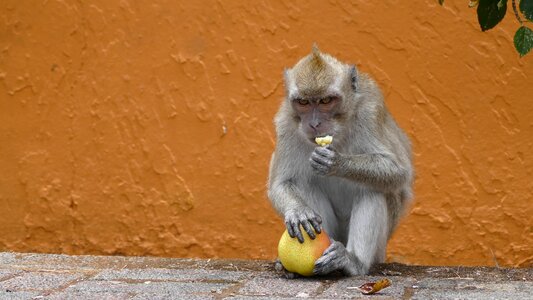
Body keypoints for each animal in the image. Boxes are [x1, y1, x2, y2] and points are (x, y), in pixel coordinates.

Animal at [268, 45, 414, 276]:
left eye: (326, 101)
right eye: (303, 102)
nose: (314, 123)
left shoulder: (370, 112)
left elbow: (398, 172)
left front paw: (336, 163)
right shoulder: (285, 124)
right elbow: (281, 184)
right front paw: (298, 212)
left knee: (373, 189)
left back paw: (353, 262)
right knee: (305, 183)